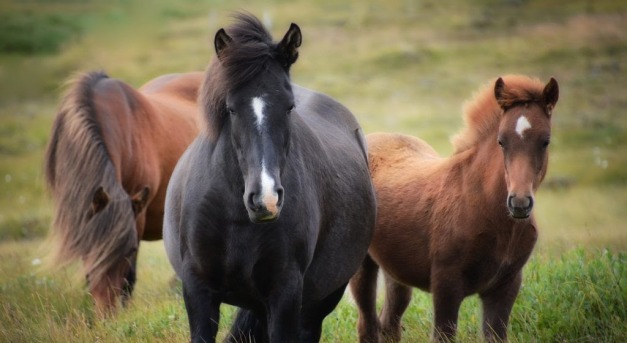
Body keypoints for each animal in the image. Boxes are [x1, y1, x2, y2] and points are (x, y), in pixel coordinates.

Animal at [164, 13, 376, 343]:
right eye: (231, 108)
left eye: (289, 106)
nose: (266, 200)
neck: (236, 217)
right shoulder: (198, 290)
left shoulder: (285, 294)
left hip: (319, 301)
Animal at [350, 76, 560, 343]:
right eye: (501, 141)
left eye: (546, 141)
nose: (519, 203)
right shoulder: (446, 285)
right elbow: (443, 334)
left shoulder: (505, 286)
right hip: (362, 265)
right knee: (367, 324)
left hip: (395, 269)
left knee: (390, 324)